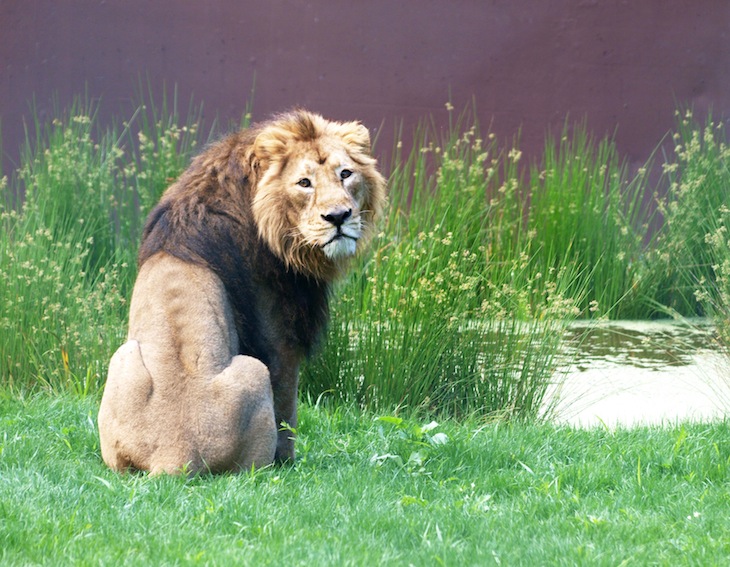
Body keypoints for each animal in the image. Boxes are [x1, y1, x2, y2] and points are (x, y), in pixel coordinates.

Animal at [99, 111, 390, 474]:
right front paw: (288, 463)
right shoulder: (277, 329)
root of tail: (175, 454)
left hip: (121, 360)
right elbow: (287, 408)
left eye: (346, 174)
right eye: (304, 183)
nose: (338, 217)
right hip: (253, 371)